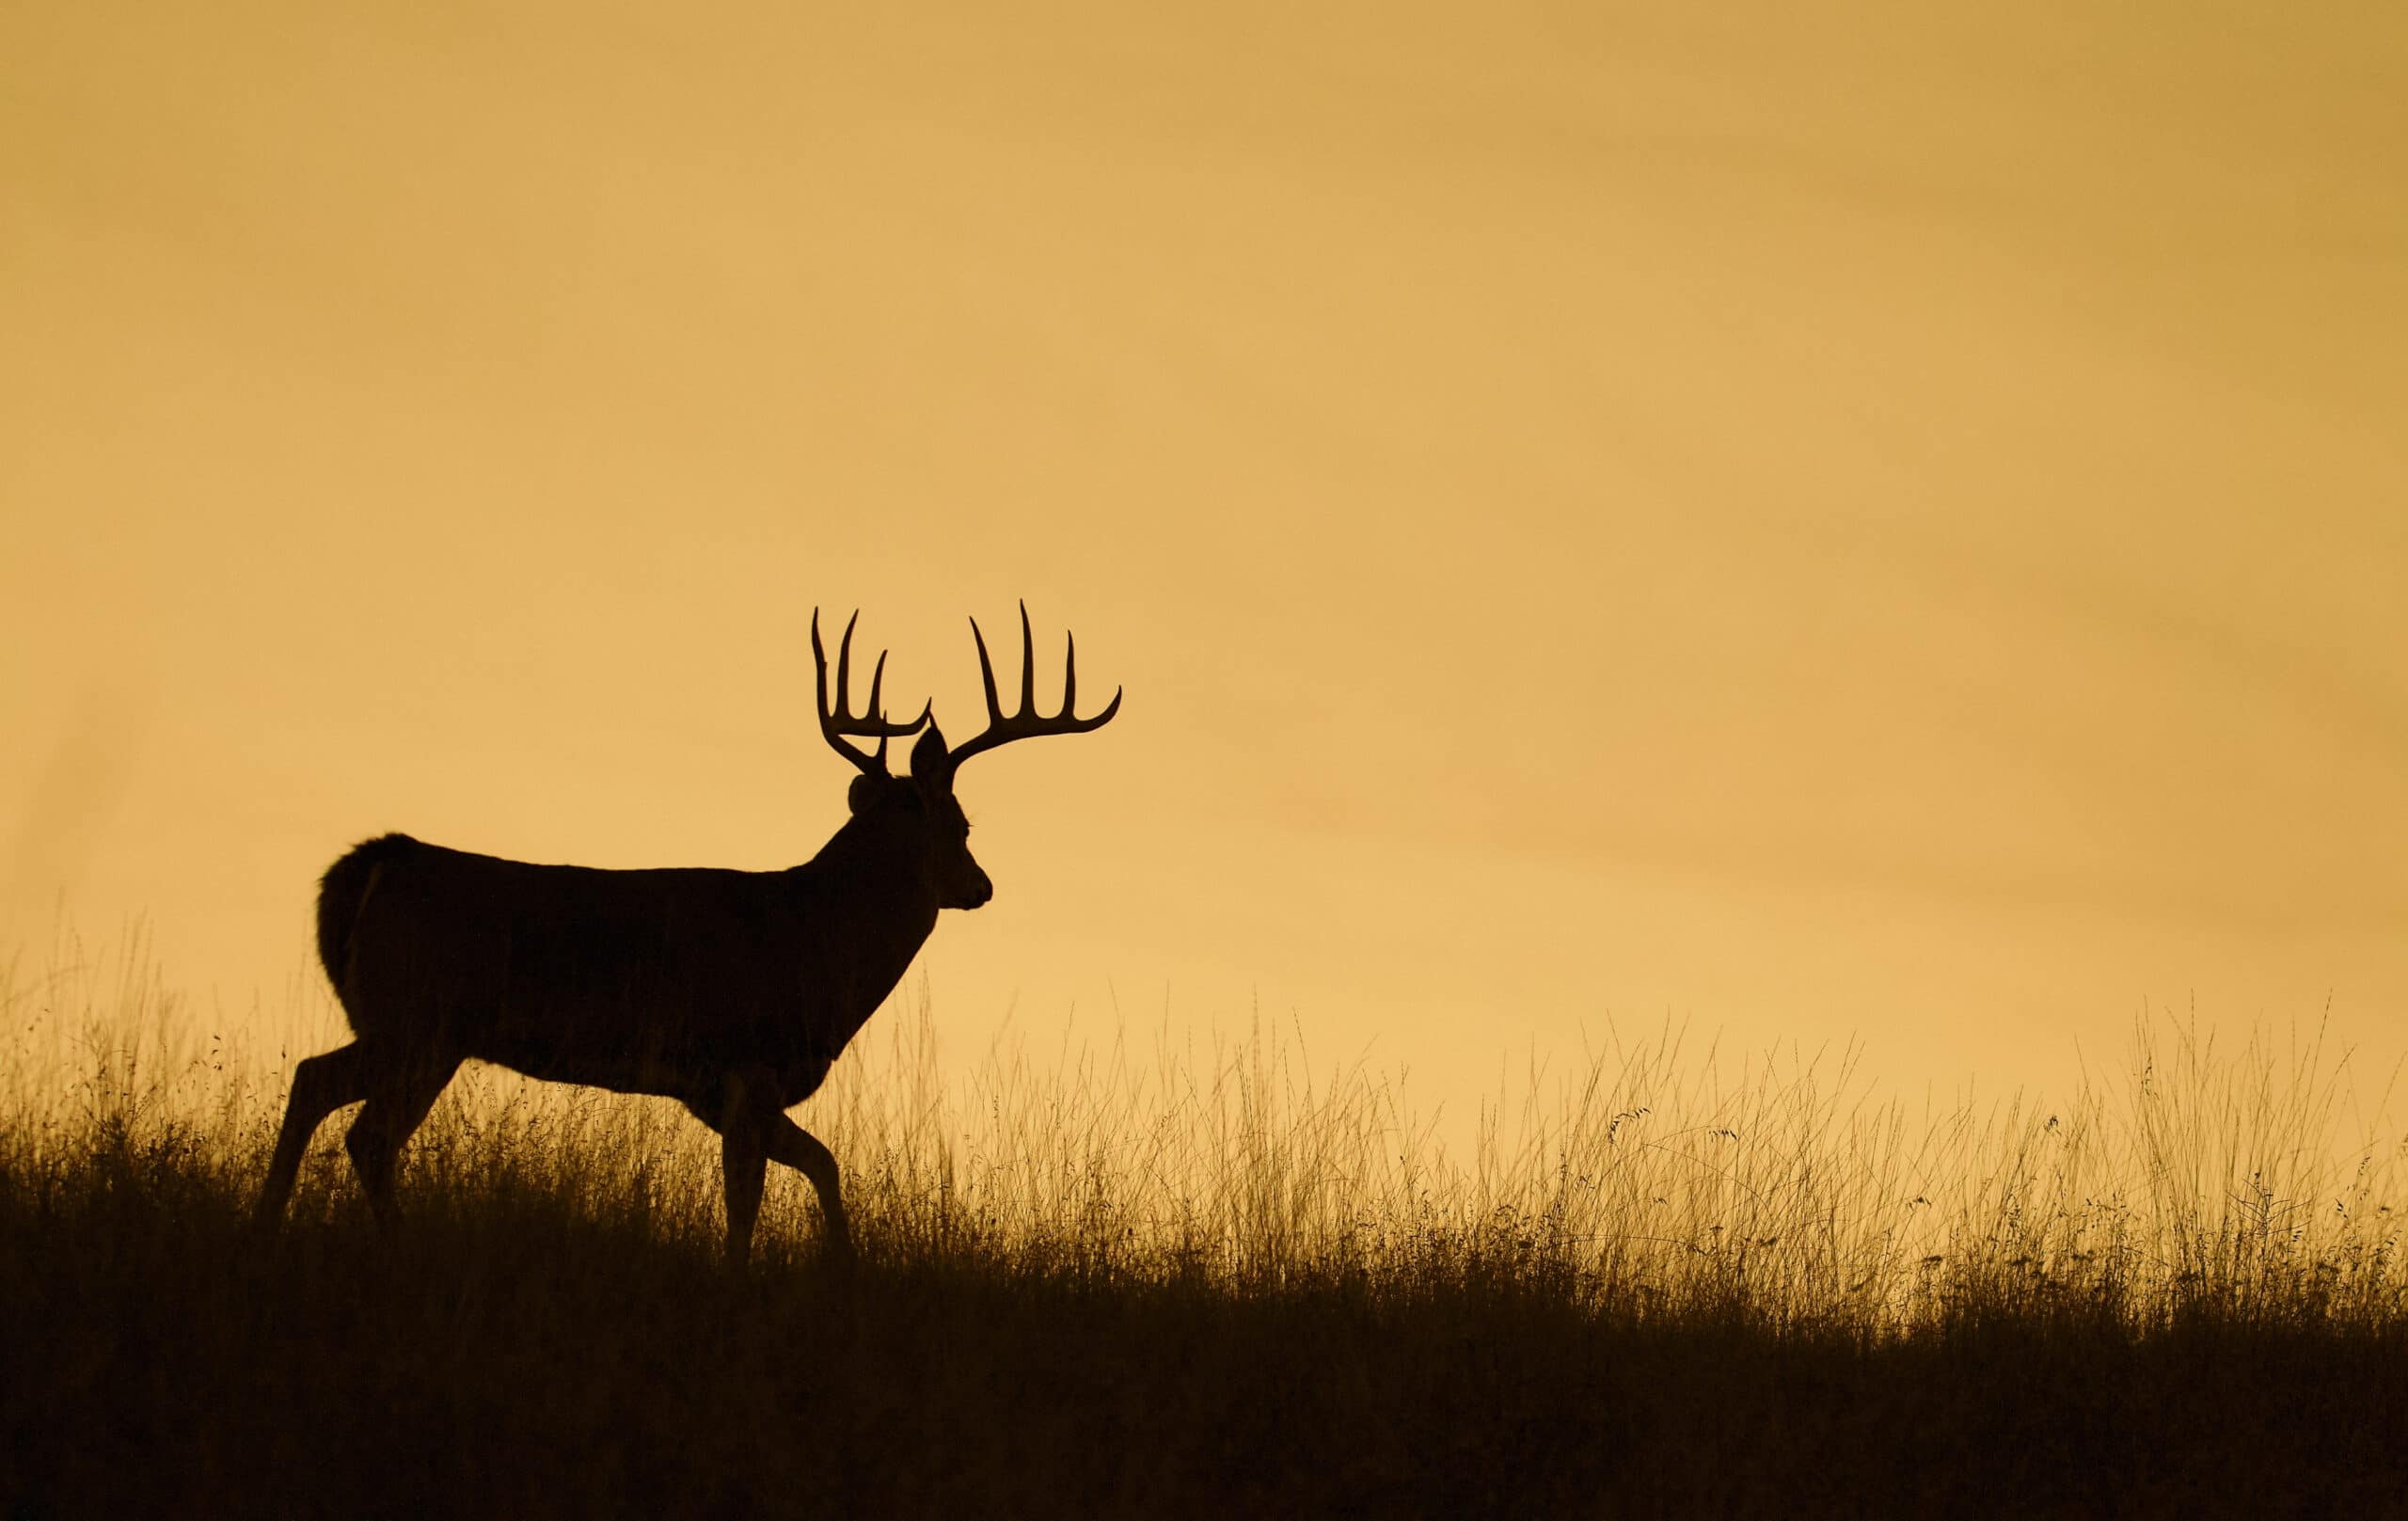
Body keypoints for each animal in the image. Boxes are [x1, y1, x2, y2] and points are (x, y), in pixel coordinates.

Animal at [254, 604, 1117, 1260]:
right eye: (962, 824)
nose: (982, 887)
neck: (819, 941)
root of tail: (374, 862)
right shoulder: (745, 1063)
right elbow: (747, 1198)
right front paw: (742, 1279)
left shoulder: (718, 1089)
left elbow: (823, 1163)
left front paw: (844, 1265)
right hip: (423, 1022)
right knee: (367, 1133)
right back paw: (394, 1245)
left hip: (403, 1025)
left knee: (314, 1082)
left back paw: (267, 1223)